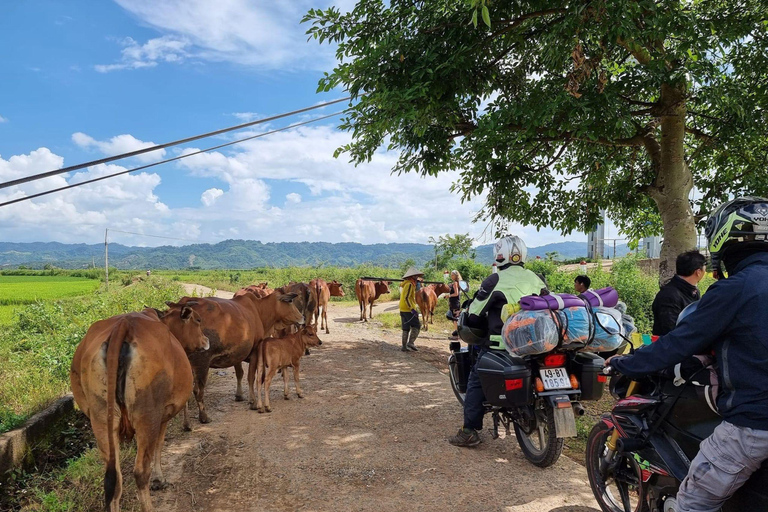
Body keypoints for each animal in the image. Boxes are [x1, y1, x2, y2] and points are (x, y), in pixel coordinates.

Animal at [67, 308, 207, 512]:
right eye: (197, 320)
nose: (206, 340)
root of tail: (123, 325)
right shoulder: (163, 415)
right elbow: (159, 444)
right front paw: (159, 478)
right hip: (148, 417)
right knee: (140, 472)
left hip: (100, 419)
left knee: (114, 479)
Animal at [167, 292, 304, 424]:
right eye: (290, 301)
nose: (302, 317)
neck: (259, 310)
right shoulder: (254, 351)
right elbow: (251, 377)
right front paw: (253, 402)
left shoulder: (237, 353)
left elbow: (240, 373)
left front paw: (239, 395)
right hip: (201, 362)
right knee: (197, 390)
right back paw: (204, 417)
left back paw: (187, 424)